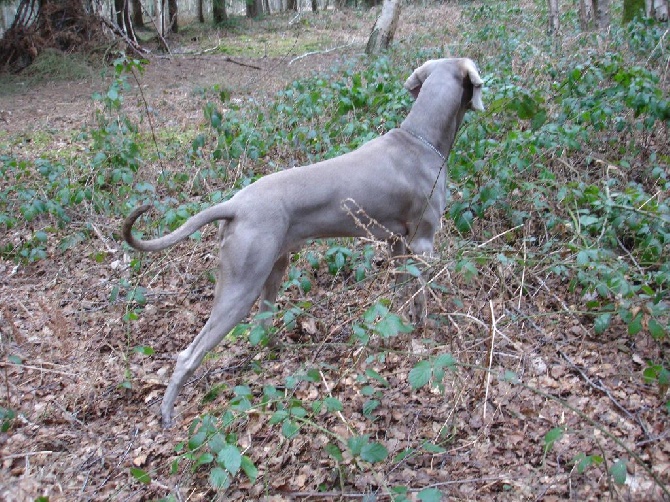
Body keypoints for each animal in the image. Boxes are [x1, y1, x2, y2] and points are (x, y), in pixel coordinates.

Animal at [123, 58, 486, 428]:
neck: (421, 140)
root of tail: (235, 204)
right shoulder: (423, 242)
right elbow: (421, 297)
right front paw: (423, 334)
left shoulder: (397, 244)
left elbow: (402, 295)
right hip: (242, 284)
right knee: (189, 353)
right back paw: (168, 413)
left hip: (273, 269)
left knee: (261, 325)